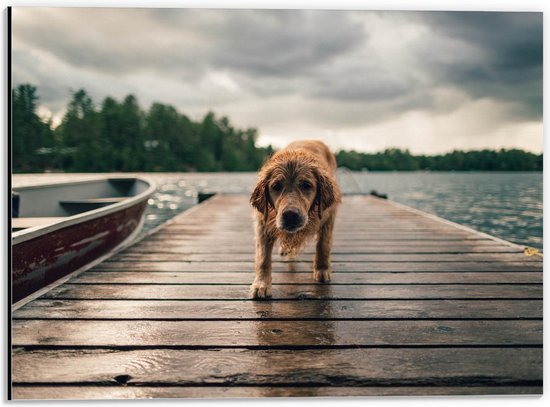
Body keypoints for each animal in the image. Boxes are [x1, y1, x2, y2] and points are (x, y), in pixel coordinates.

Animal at [250, 140, 340, 300]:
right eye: (276, 186)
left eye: (307, 185)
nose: (290, 215)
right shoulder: (263, 223)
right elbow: (263, 258)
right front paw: (261, 284)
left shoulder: (329, 216)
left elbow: (323, 245)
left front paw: (322, 269)